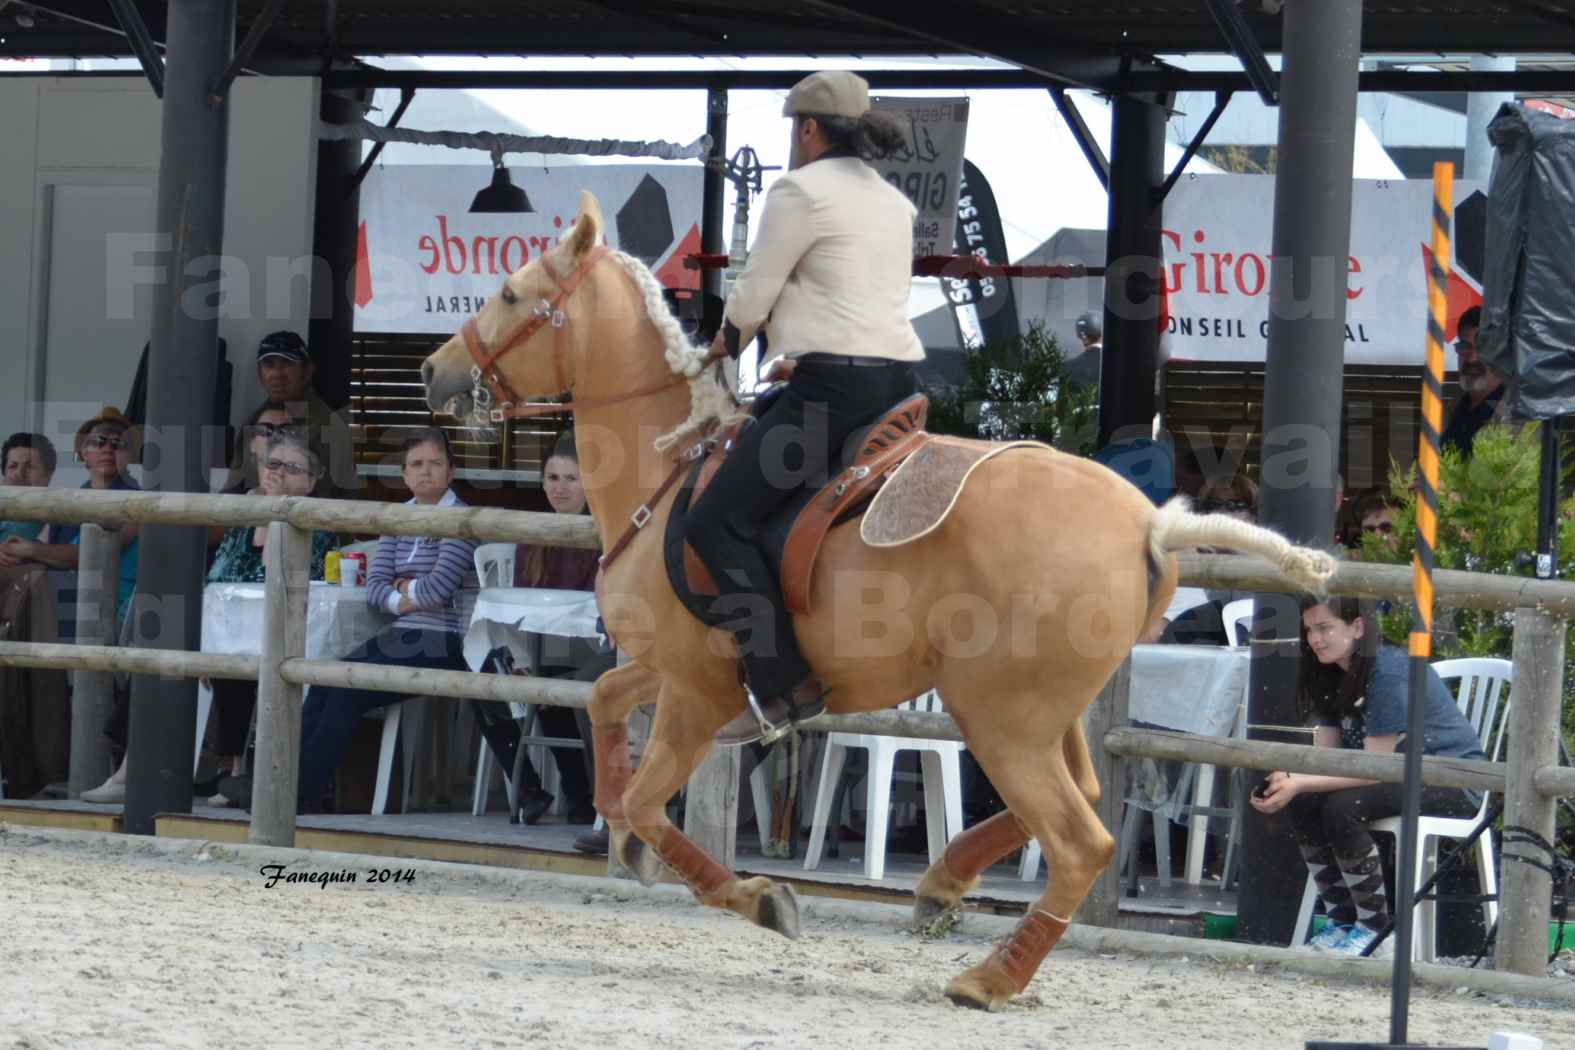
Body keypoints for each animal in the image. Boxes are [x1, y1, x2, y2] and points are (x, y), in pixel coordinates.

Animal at [425, 195, 1335, 1007]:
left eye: (510, 294)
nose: (435, 372)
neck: (670, 469)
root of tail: (1146, 520)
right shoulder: (683, 672)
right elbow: (604, 701)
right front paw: (617, 826)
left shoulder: (695, 693)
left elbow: (652, 802)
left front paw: (757, 897)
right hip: (1045, 713)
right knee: (1081, 796)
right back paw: (944, 883)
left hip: (999, 717)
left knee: (1082, 839)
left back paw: (989, 978)